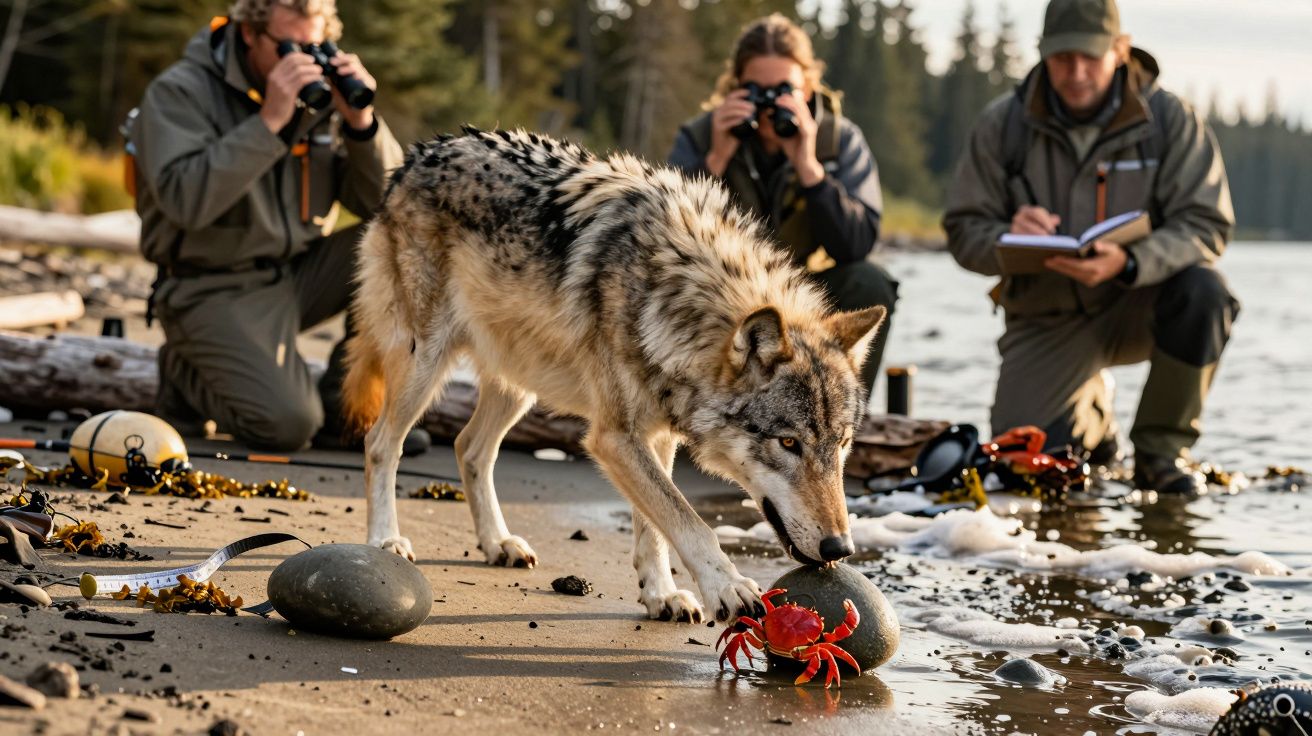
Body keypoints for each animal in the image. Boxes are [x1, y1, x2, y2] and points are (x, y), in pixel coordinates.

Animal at [342, 127, 885, 623]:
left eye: (841, 445)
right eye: (788, 444)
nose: (840, 548)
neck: (679, 292)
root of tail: (417, 156)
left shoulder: (657, 433)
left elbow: (655, 524)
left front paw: (661, 594)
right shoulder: (614, 436)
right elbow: (686, 519)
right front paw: (727, 587)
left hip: (519, 384)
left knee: (469, 448)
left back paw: (497, 543)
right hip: (424, 364)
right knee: (381, 443)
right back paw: (386, 539)